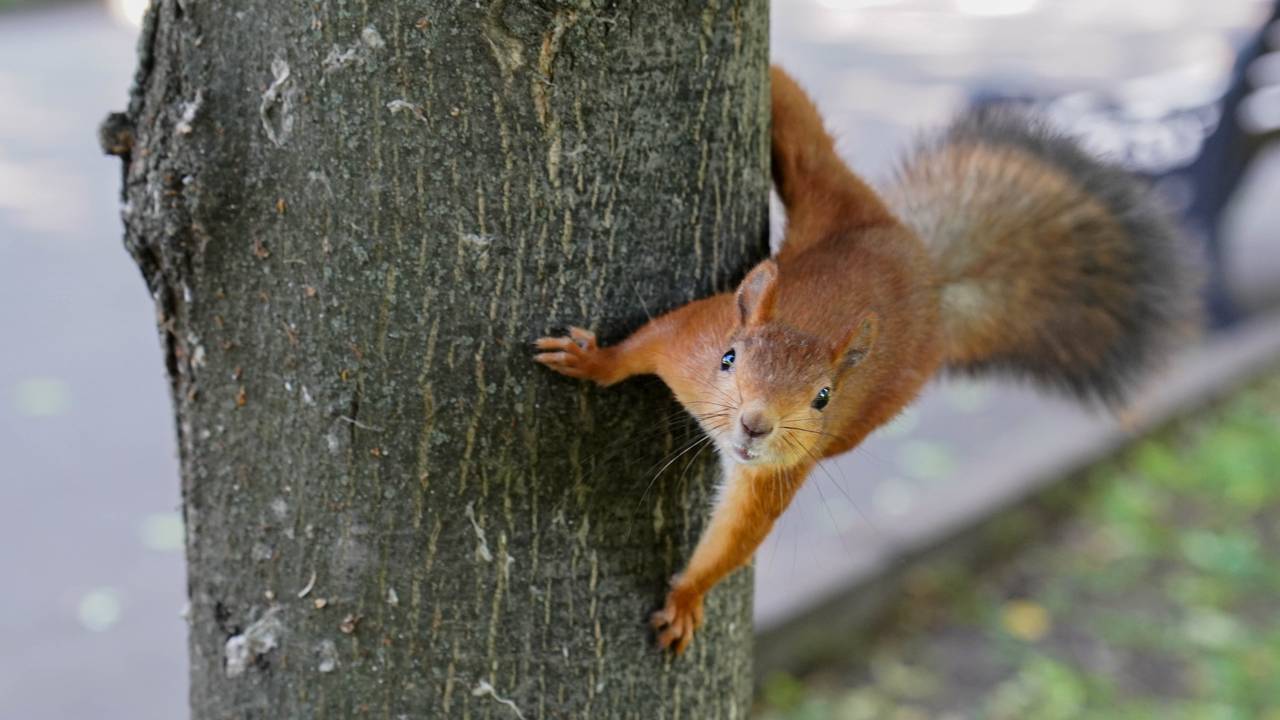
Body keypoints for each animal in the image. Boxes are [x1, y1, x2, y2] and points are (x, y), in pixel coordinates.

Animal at [529, 65, 1198, 650]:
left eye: (823, 397)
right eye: (728, 358)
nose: (755, 424)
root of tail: (929, 276)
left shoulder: (783, 466)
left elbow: (738, 534)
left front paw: (688, 596)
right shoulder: (689, 341)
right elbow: (642, 344)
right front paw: (593, 361)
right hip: (835, 197)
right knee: (807, 144)